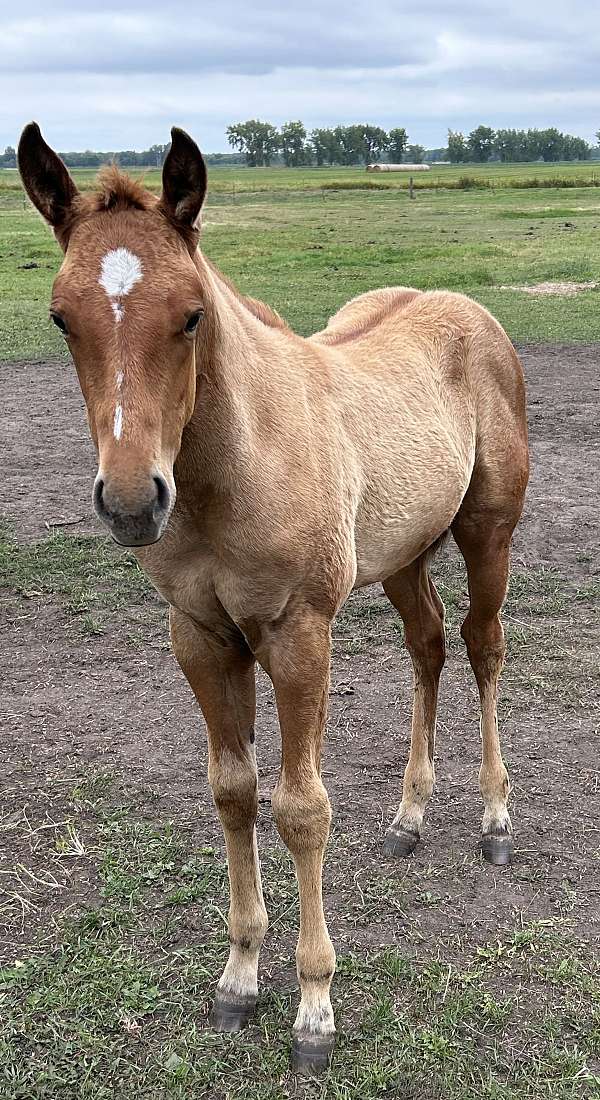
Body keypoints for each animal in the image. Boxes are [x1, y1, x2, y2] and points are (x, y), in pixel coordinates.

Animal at [17, 123, 529, 1073]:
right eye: (61, 317)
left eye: (191, 314)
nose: (132, 501)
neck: (235, 468)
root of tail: (468, 310)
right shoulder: (201, 635)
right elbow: (232, 792)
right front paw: (239, 976)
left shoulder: (298, 634)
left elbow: (300, 809)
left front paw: (314, 1008)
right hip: (400, 554)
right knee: (430, 644)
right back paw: (410, 814)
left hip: (488, 533)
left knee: (483, 646)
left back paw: (494, 817)